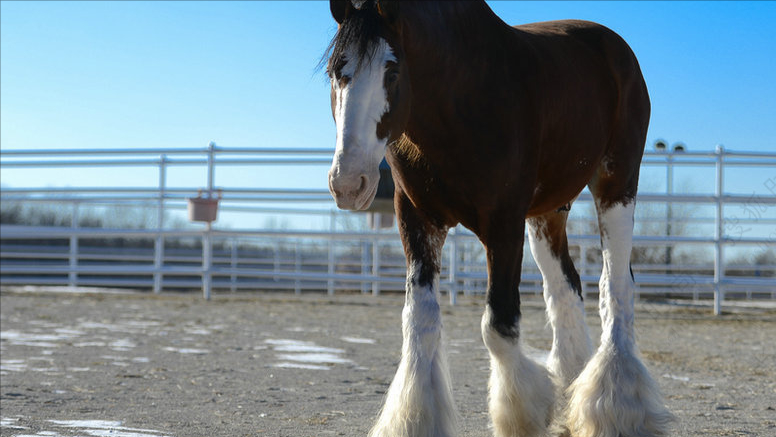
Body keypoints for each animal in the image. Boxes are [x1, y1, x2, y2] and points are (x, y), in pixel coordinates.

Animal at [323, 1, 673, 436]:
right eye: (336, 71)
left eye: (391, 70)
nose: (348, 181)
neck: (462, 101)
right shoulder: (417, 220)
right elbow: (419, 320)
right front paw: (416, 418)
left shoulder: (504, 222)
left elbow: (499, 326)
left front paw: (525, 414)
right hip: (547, 213)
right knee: (565, 289)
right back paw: (572, 390)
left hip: (617, 184)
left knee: (616, 287)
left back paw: (616, 409)